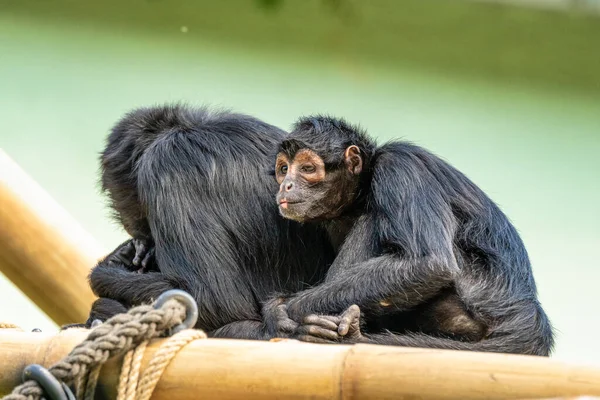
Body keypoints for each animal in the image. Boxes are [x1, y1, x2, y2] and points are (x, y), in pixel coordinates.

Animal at [270, 116, 552, 356]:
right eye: (284, 169)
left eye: (307, 168)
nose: (286, 185)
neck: (365, 185)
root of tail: (529, 319)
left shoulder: (399, 165)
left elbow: (429, 264)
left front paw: (286, 311)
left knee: (372, 219)